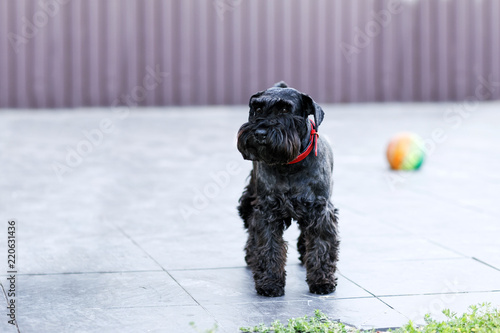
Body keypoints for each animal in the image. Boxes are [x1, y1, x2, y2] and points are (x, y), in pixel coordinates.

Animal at [235, 80, 338, 296]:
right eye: (257, 108)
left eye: (284, 109)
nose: (260, 133)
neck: (289, 165)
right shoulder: (267, 211)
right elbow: (268, 246)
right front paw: (269, 283)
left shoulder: (320, 211)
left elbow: (321, 245)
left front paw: (322, 281)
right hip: (249, 200)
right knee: (251, 231)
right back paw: (251, 257)